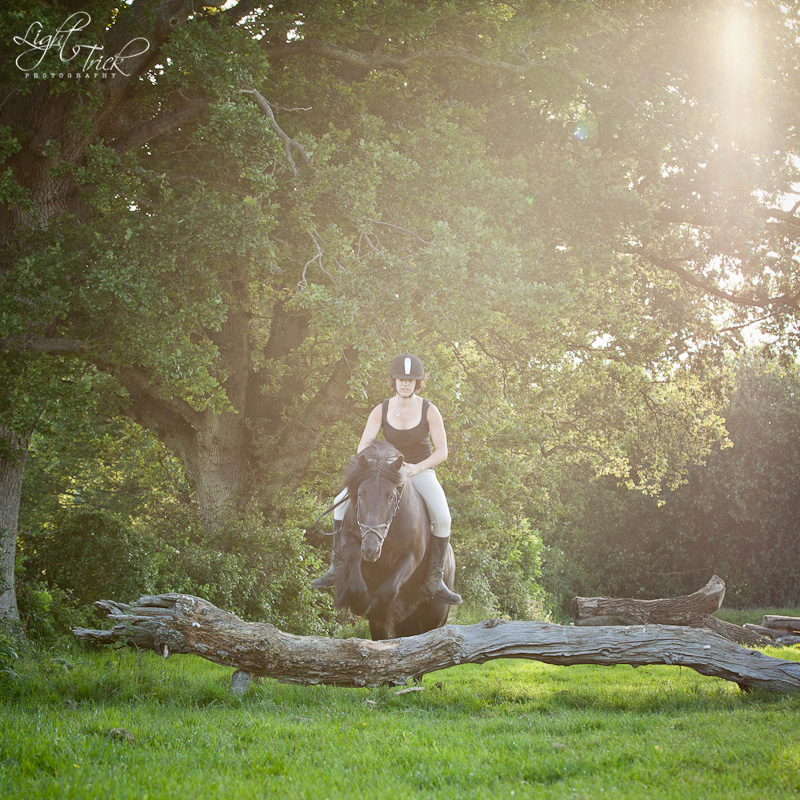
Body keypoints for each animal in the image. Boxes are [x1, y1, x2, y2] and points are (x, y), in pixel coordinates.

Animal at [334, 440, 456, 641]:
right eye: (360, 494)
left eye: (391, 496)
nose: (371, 550)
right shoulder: (351, 540)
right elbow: (356, 575)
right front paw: (361, 603)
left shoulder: (412, 556)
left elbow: (388, 590)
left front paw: (377, 607)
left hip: (434, 616)